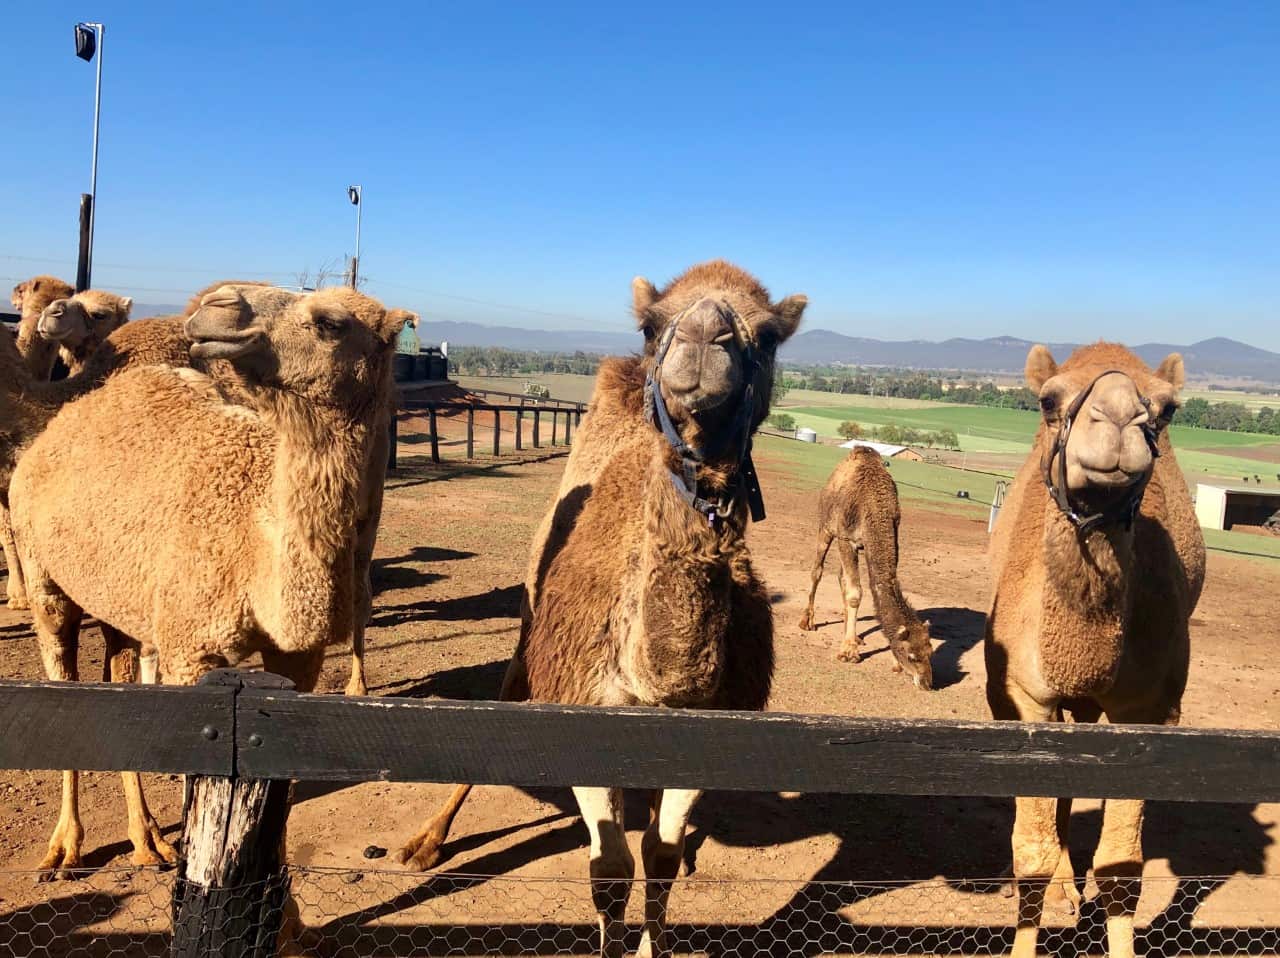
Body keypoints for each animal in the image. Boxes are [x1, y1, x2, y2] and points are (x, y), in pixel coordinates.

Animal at [10, 284, 409, 878]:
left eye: (331, 323)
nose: (219, 302)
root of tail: (49, 436)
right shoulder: (189, 648)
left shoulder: (298, 656)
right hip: (43, 574)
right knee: (62, 672)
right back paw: (65, 848)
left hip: (126, 602)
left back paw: (147, 840)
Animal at [397, 260, 806, 958]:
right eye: (651, 324)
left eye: (772, 335)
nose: (704, 335)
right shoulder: (584, 703)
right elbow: (610, 870)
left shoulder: (713, 728)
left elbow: (658, 857)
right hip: (532, 624)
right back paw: (427, 841)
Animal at [797, 446, 935, 688]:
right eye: (911, 655)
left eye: (930, 652)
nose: (928, 683)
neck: (875, 507)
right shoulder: (846, 538)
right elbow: (854, 593)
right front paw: (848, 653)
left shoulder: (891, 540)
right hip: (825, 526)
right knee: (818, 570)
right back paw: (808, 622)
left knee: (841, 577)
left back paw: (852, 634)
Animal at [985, 342, 1204, 958]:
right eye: (1047, 401)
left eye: (1167, 409)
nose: (1118, 418)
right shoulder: (1022, 696)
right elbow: (1030, 855)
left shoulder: (1153, 709)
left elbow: (1122, 866)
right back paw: (1065, 891)